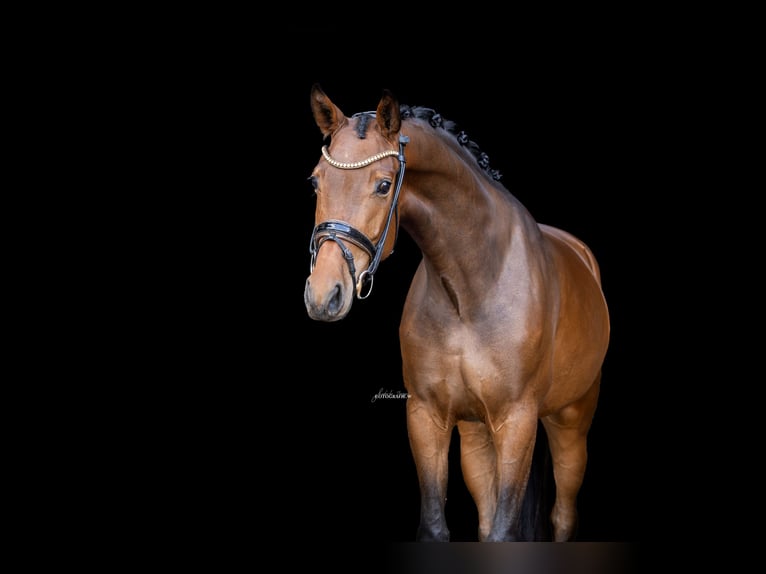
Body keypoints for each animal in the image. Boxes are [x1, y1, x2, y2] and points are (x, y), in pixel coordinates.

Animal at [303, 84, 610, 542]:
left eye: (383, 185)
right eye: (315, 182)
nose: (324, 294)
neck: (471, 290)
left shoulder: (517, 421)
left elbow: (505, 532)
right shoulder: (426, 415)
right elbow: (439, 526)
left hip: (571, 422)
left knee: (563, 516)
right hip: (476, 433)